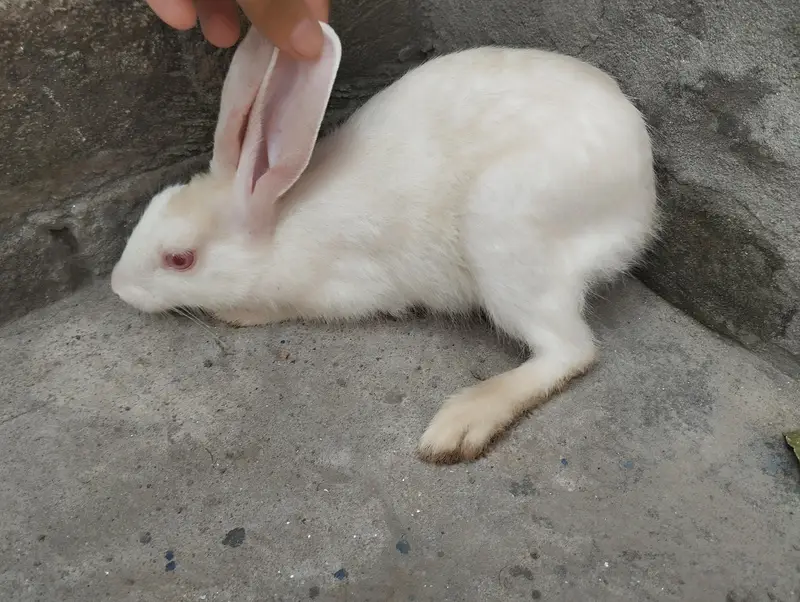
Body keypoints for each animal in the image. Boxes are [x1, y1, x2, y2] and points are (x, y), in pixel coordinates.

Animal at [111, 22, 658, 464]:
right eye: (152, 207)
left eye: (180, 259)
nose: (118, 288)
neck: (281, 223)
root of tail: (641, 201)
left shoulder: (345, 287)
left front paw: (238, 314)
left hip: (507, 241)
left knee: (570, 350)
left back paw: (461, 423)